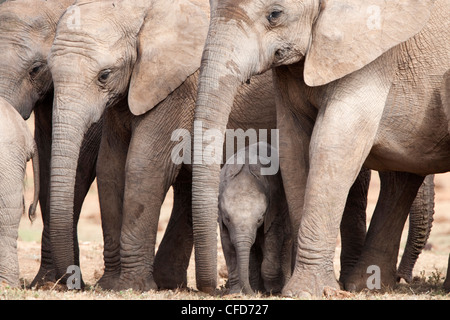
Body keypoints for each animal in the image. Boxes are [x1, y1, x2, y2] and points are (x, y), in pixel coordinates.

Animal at [219, 142, 292, 296]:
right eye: (228, 219)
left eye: (259, 219)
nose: (251, 294)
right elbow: (227, 244)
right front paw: (236, 293)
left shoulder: (274, 205)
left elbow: (272, 237)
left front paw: (273, 290)